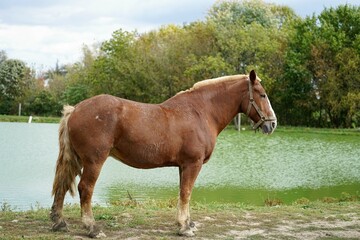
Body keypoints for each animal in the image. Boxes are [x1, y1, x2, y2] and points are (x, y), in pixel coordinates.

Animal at [50, 70, 276, 238]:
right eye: (262, 95)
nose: (272, 124)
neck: (201, 112)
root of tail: (75, 109)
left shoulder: (183, 166)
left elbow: (184, 193)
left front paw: (186, 223)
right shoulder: (193, 164)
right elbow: (186, 192)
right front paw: (184, 227)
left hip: (77, 160)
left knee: (63, 184)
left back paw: (59, 222)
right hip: (94, 161)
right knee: (85, 188)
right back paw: (92, 228)